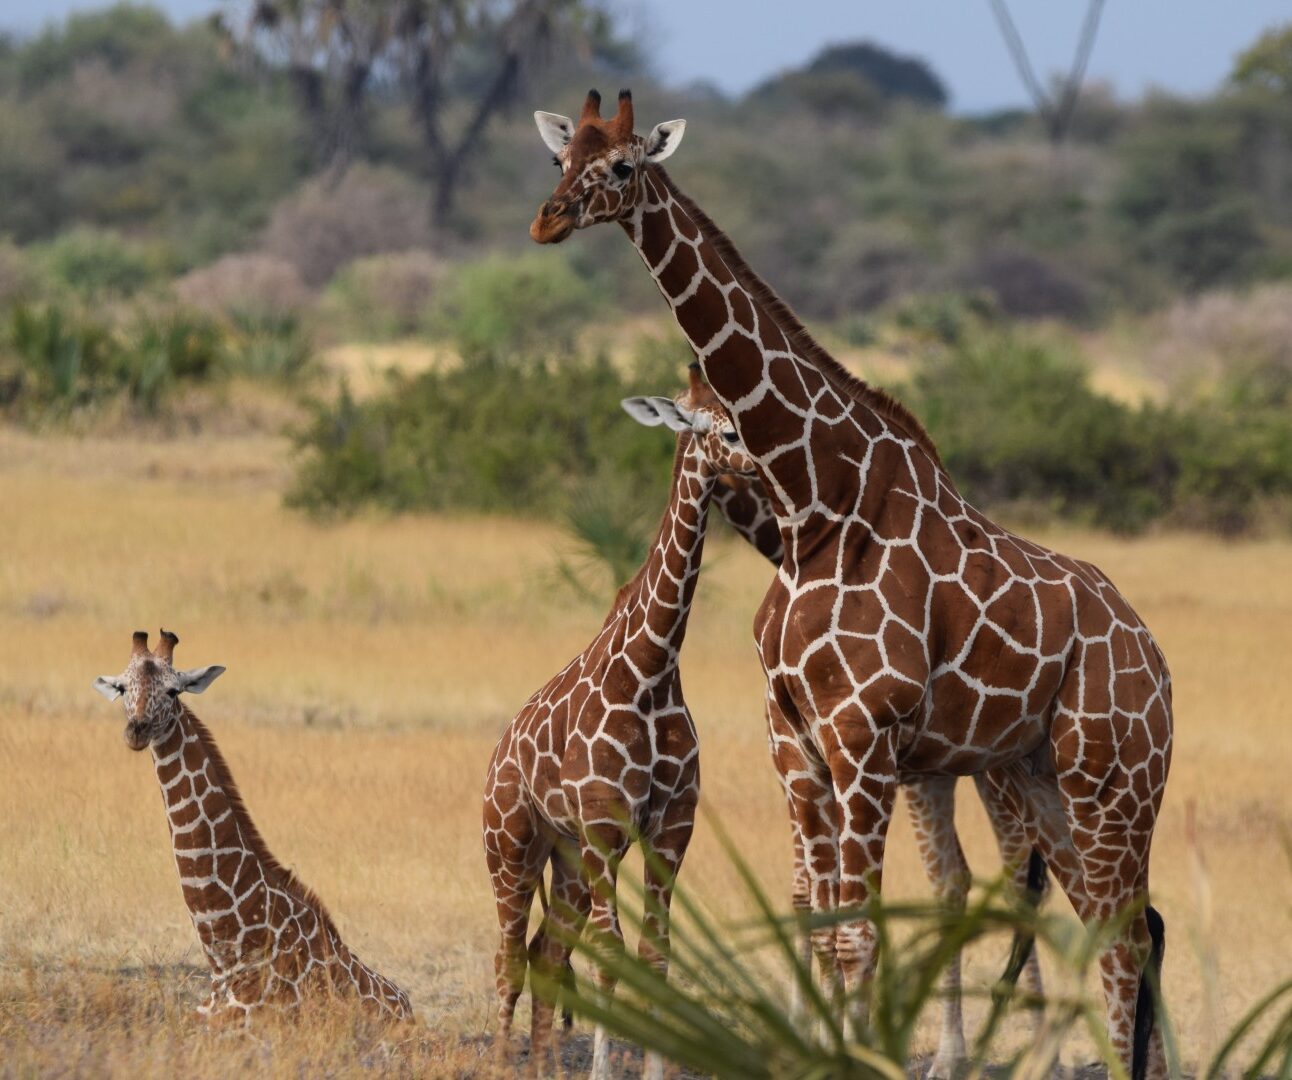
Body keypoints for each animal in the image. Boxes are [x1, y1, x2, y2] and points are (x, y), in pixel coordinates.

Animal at [482, 380, 757, 1080]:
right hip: (512, 846)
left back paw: (544, 1067)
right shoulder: (606, 826)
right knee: (509, 957)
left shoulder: (672, 825)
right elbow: (611, 957)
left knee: (547, 954)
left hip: (566, 857)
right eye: (726, 431)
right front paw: (607, 1069)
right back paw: (499, 1062)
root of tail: (498, 755)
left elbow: (654, 957)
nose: (762, 469)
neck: (652, 669)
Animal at [528, 90, 1172, 1079]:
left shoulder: (865, 737)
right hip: (1046, 777)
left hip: (1118, 779)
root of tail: (1158, 661)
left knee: (1128, 934)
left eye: (623, 167)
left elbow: (863, 931)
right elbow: (824, 919)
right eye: (562, 162)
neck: (821, 507)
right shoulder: (797, 738)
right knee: (1114, 928)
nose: (548, 220)